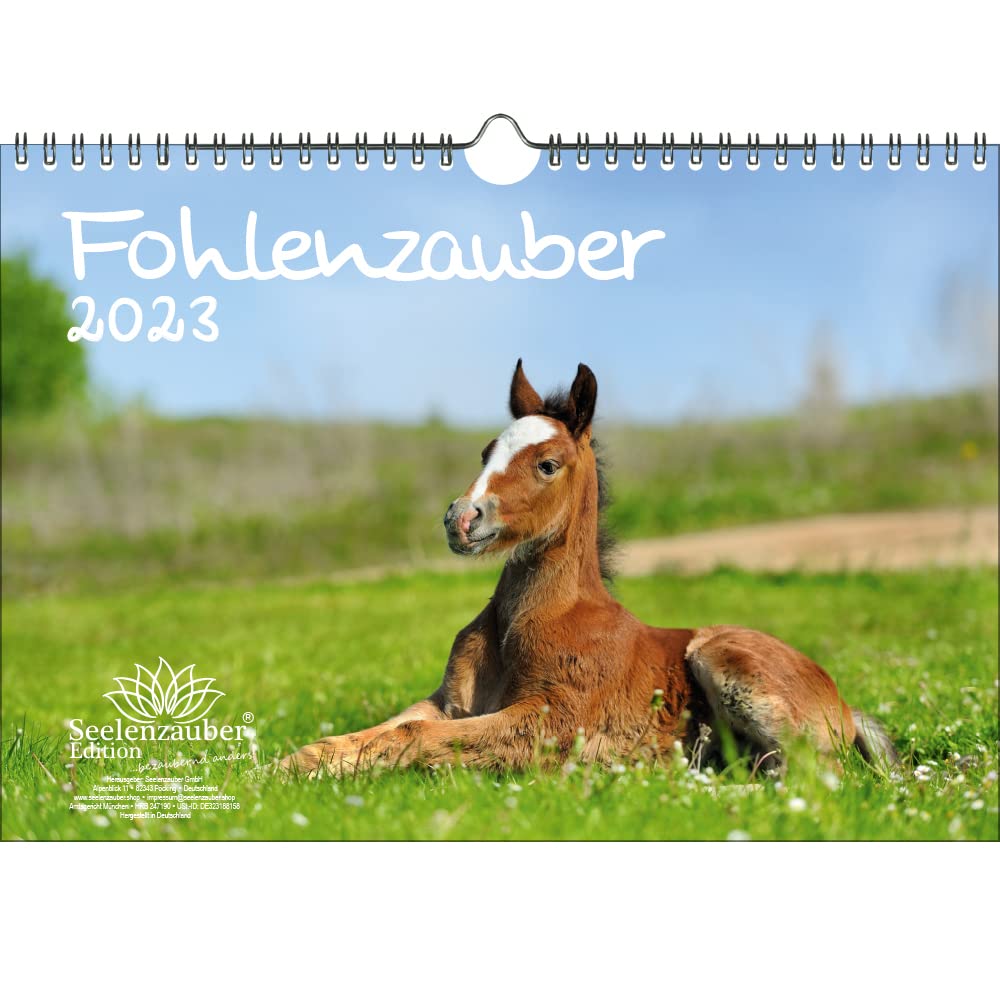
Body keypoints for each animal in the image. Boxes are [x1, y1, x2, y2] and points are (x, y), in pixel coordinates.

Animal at [280, 360, 898, 776]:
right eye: (485, 453)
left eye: (548, 464)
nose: (462, 518)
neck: (526, 623)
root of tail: (846, 705)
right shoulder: (447, 701)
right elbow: (392, 725)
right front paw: (288, 767)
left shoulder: (552, 721)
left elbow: (417, 735)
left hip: (724, 659)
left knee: (814, 775)